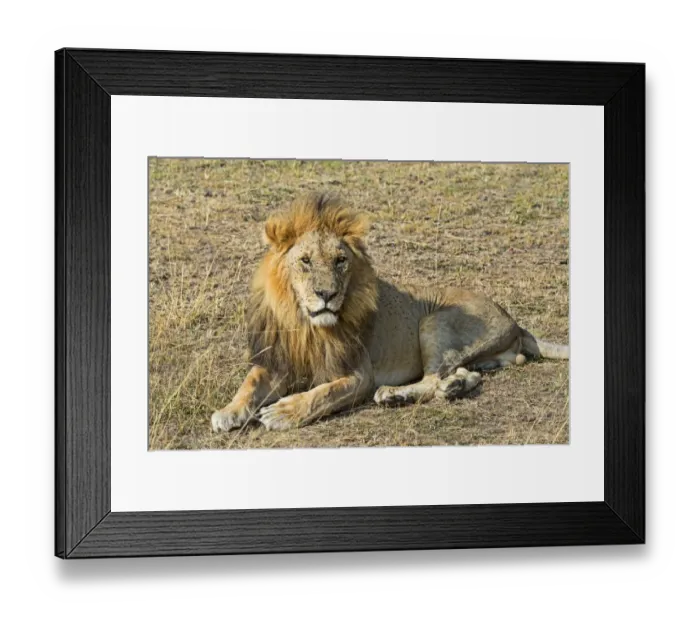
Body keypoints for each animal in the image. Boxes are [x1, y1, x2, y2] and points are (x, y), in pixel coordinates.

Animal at [211, 193, 569, 432]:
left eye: (341, 261)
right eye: (306, 261)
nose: (327, 295)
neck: (306, 324)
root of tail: (513, 320)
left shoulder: (359, 374)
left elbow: (322, 394)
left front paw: (282, 413)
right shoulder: (277, 359)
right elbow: (249, 383)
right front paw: (228, 411)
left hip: (434, 320)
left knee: (433, 378)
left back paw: (395, 395)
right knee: (464, 375)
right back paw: (451, 388)